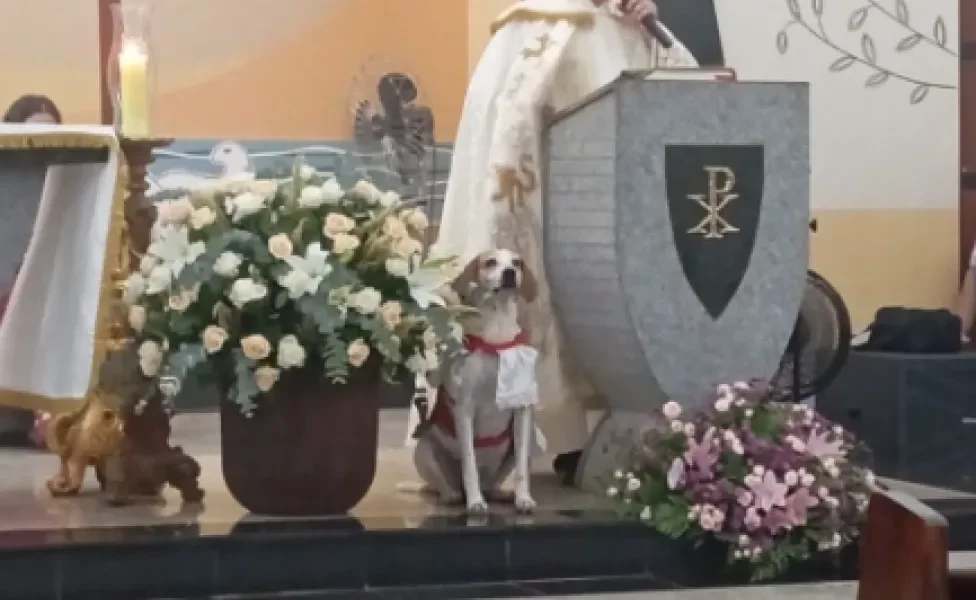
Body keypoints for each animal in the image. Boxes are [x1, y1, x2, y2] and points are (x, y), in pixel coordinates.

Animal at [412, 248, 540, 516]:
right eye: (490, 262)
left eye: (517, 262)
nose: (510, 272)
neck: (498, 327)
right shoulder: (465, 410)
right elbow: (469, 464)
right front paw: (475, 503)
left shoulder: (523, 410)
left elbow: (522, 469)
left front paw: (524, 499)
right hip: (424, 451)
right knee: (446, 485)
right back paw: (452, 495)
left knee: (492, 484)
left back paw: (501, 494)